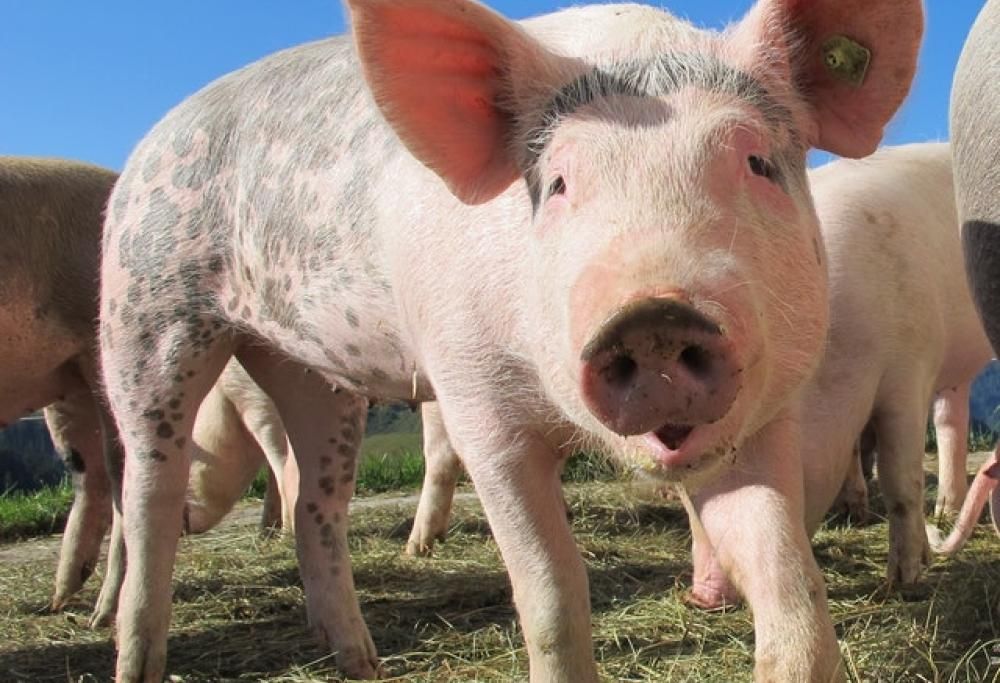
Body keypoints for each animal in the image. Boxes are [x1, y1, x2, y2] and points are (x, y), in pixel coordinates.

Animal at [98, 0, 922, 680]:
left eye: (756, 162)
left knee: (316, 503)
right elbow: (552, 595)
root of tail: (150, 143)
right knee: (147, 493)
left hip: (311, 372)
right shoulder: (475, 405)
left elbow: (790, 582)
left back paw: (361, 662)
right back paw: (136, 659)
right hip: (147, 308)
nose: (655, 316)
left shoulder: (766, 413)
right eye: (556, 183)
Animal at [689, 143, 994, 610]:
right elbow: (852, 452)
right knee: (950, 418)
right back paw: (943, 513)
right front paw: (855, 510)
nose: (699, 595)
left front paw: (904, 581)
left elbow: (900, 476)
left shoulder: (909, 370)